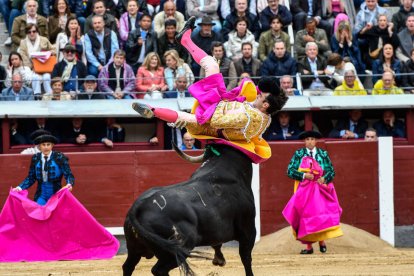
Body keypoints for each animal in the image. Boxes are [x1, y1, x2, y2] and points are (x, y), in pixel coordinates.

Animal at [122, 146, 256, 274]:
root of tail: (138, 207)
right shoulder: (248, 230)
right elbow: (246, 258)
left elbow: (217, 243)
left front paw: (219, 260)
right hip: (177, 250)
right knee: (159, 270)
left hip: (134, 249)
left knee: (128, 266)